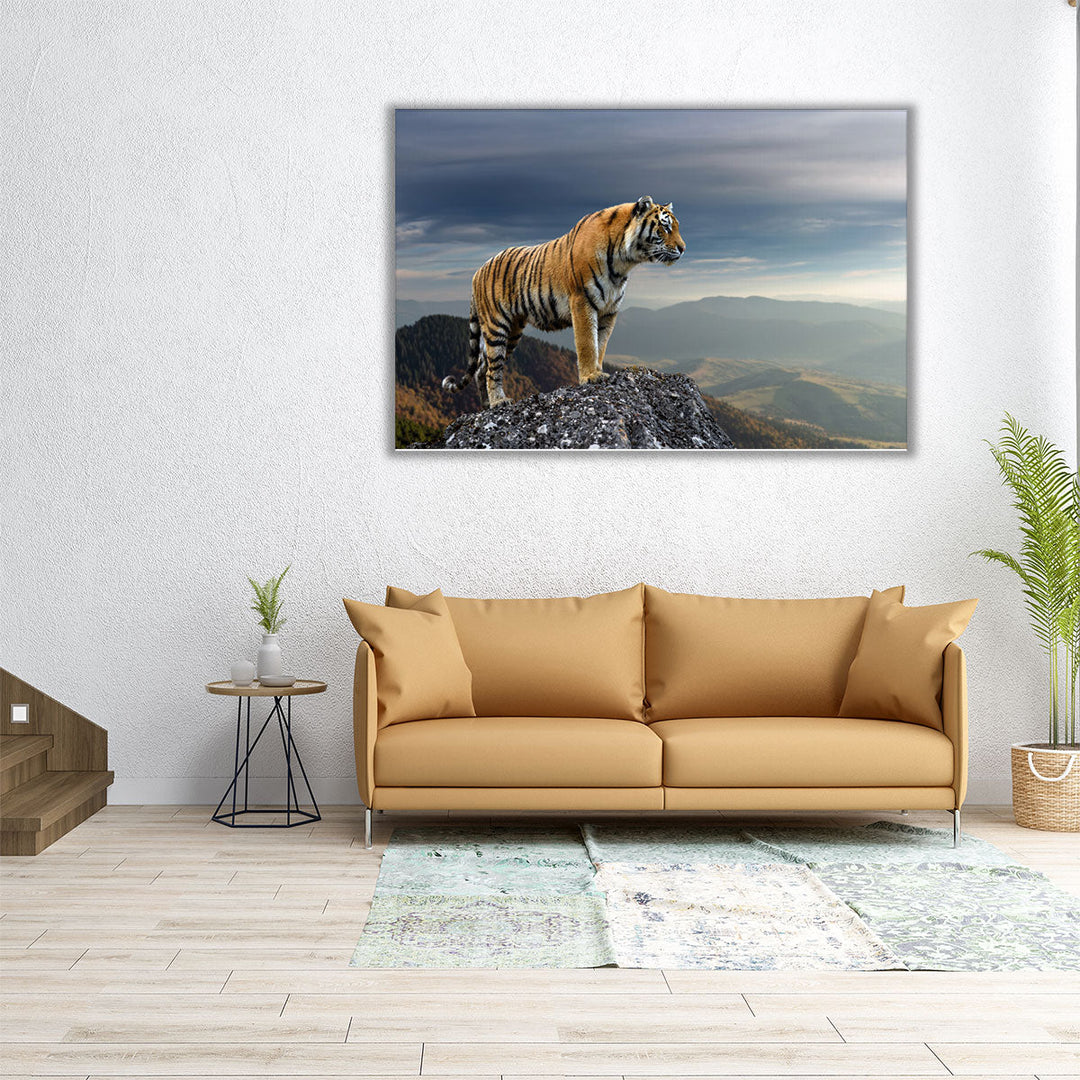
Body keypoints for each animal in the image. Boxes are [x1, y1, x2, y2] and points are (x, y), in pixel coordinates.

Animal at [442, 195, 685, 408]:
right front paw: (590, 376)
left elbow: (601, 344)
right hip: (496, 326)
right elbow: (587, 343)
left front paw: (598, 370)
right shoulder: (582, 302)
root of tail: (477, 272)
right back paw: (498, 402)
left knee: (482, 369)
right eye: (665, 228)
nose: (683, 248)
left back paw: (485, 406)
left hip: (512, 331)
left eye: (677, 227)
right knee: (492, 369)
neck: (623, 263)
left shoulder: (609, 310)